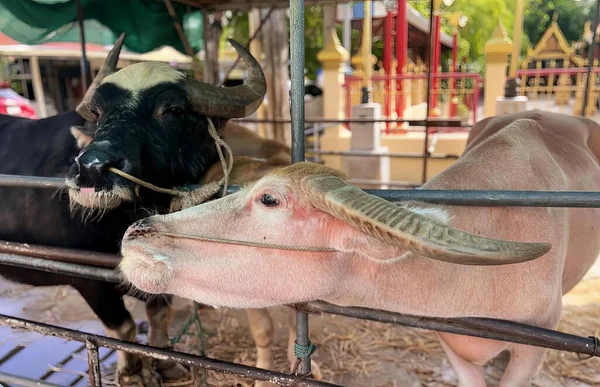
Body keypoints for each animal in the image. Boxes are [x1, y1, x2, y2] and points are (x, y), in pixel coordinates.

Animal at [0, 34, 268, 384]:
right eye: (98, 111)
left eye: (173, 110)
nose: (92, 167)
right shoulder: (87, 279)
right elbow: (123, 328)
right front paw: (131, 373)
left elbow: (159, 314)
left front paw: (165, 364)